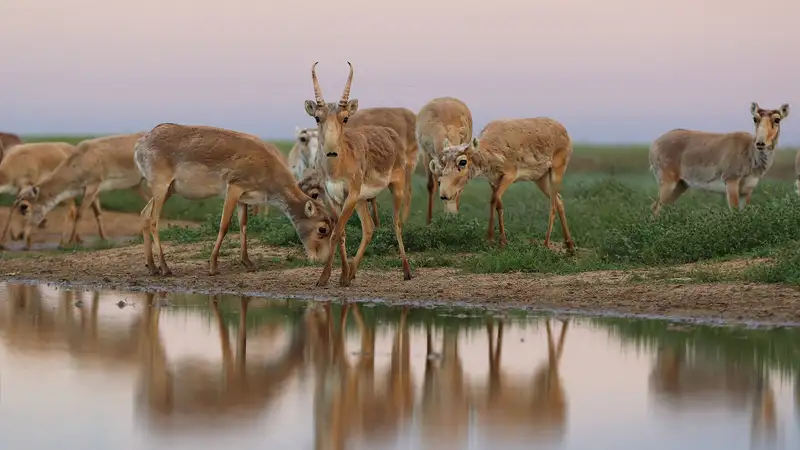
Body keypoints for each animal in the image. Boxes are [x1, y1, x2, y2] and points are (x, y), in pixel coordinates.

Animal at [14, 132, 151, 248]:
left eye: (24, 206)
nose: (20, 235)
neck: (79, 163)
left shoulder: (93, 185)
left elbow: (79, 214)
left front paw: (70, 241)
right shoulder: (93, 191)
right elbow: (97, 213)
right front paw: (105, 238)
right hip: (137, 185)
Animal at [133, 122, 332, 274]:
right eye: (322, 229)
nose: (322, 260)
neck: (268, 168)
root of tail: (140, 144)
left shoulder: (244, 198)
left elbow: (243, 225)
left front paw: (248, 263)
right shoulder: (234, 188)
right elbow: (225, 225)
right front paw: (213, 266)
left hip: (169, 190)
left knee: (144, 214)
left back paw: (152, 266)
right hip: (161, 187)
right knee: (154, 220)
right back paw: (165, 268)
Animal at [302, 61, 410, 286]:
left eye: (345, 118)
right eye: (317, 117)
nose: (331, 151)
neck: (336, 168)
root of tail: (391, 133)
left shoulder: (350, 195)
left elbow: (335, 234)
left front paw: (325, 278)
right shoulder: (332, 197)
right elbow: (340, 233)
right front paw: (341, 275)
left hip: (396, 188)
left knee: (396, 224)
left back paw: (406, 271)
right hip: (362, 201)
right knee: (369, 228)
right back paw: (351, 272)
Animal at [432, 118, 576, 251]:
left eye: (462, 162)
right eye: (443, 161)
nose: (444, 194)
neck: (491, 151)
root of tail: (564, 130)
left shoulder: (509, 175)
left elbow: (493, 199)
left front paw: (490, 238)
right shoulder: (493, 180)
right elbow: (499, 205)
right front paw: (503, 242)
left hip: (557, 169)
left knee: (553, 204)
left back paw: (546, 244)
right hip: (541, 178)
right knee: (559, 200)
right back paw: (569, 245)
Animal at [652, 102, 792, 214]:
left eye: (777, 119)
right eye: (755, 118)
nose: (760, 143)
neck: (749, 153)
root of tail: (654, 144)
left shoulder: (747, 190)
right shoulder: (731, 181)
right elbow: (734, 212)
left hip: (680, 185)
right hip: (667, 182)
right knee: (655, 207)